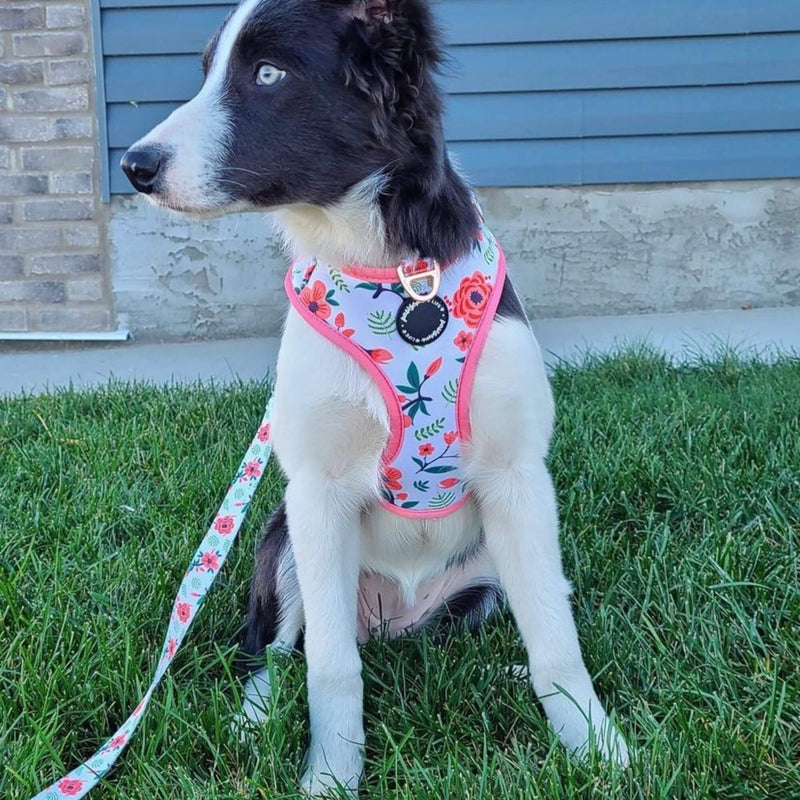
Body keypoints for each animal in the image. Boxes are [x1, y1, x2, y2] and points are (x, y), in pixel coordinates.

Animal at [120, 0, 632, 792]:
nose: (134, 166)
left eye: (268, 75)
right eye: (207, 71)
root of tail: (393, 618)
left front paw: (596, 747)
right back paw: (253, 718)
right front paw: (330, 777)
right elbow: (330, 669)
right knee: (271, 649)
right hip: (282, 542)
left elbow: (556, 639)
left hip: (485, 577)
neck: (391, 274)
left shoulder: (520, 479)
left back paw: (507, 677)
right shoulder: (317, 492)